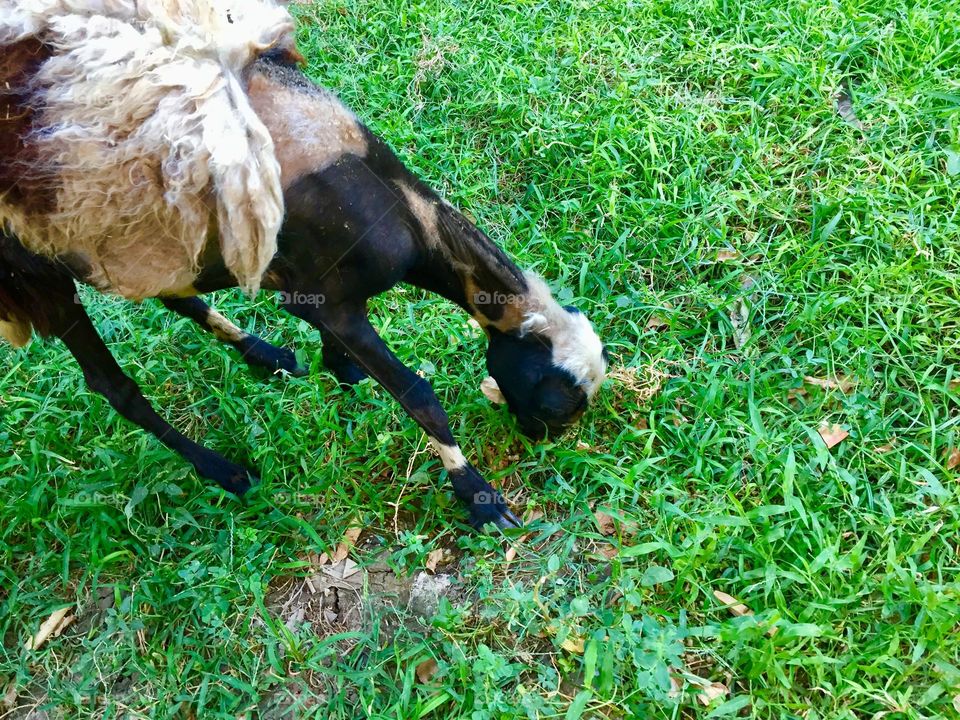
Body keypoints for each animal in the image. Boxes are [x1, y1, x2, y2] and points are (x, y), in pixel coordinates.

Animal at [1, 1, 608, 528]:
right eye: (558, 405)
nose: (536, 440)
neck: (397, 204)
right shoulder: (329, 296)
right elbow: (419, 395)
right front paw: (479, 497)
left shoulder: (312, 293)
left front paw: (339, 370)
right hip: (36, 272)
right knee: (111, 384)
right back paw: (226, 472)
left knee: (176, 295)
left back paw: (264, 354)